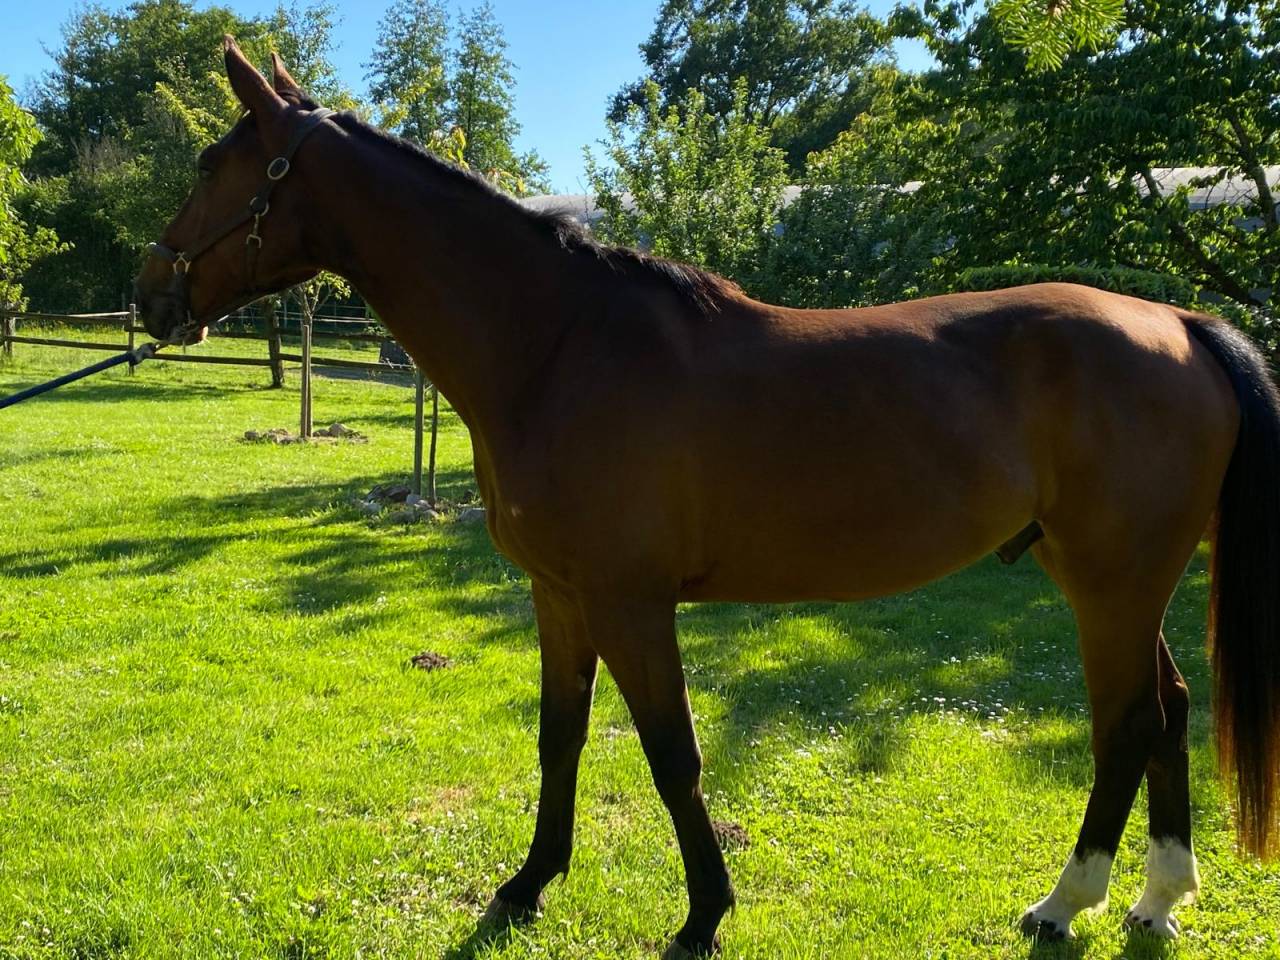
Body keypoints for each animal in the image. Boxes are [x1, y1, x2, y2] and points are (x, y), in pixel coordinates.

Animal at [133, 39, 1280, 958]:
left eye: (210, 164)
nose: (151, 295)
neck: (558, 347)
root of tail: (1182, 327)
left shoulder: (631, 604)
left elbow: (672, 755)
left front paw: (701, 916)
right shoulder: (561, 596)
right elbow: (560, 737)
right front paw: (527, 886)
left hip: (1109, 583)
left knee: (1128, 722)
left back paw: (1063, 902)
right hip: (1109, 580)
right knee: (1171, 709)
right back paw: (1155, 900)